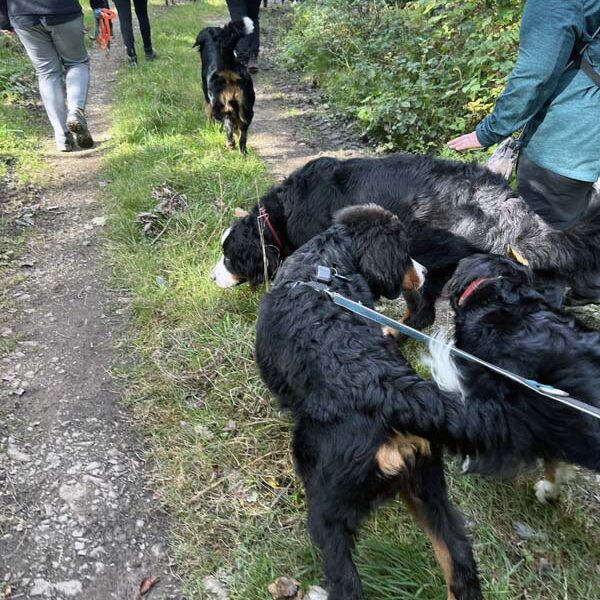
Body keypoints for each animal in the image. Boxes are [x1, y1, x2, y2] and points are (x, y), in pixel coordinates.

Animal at [195, 19, 255, 155]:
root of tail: (227, 61)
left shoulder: (209, 101)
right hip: (247, 107)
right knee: (243, 134)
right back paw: (243, 152)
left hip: (219, 105)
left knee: (228, 124)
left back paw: (230, 143)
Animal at [255, 205, 480, 600]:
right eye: (405, 252)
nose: (424, 272)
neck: (325, 269)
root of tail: (391, 391)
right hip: (429, 489)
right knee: (459, 561)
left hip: (327, 509)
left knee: (346, 581)